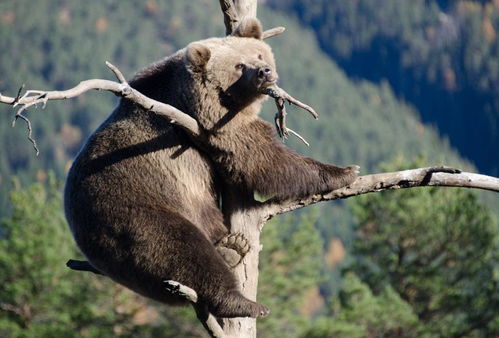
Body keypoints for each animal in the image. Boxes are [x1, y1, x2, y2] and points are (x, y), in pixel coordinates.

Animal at [63, 17, 360, 320]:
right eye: (239, 65)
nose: (264, 71)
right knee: (182, 251)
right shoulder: (206, 127)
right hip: (135, 210)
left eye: (259, 54)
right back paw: (243, 300)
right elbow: (261, 158)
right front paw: (345, 171)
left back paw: (233, 245)